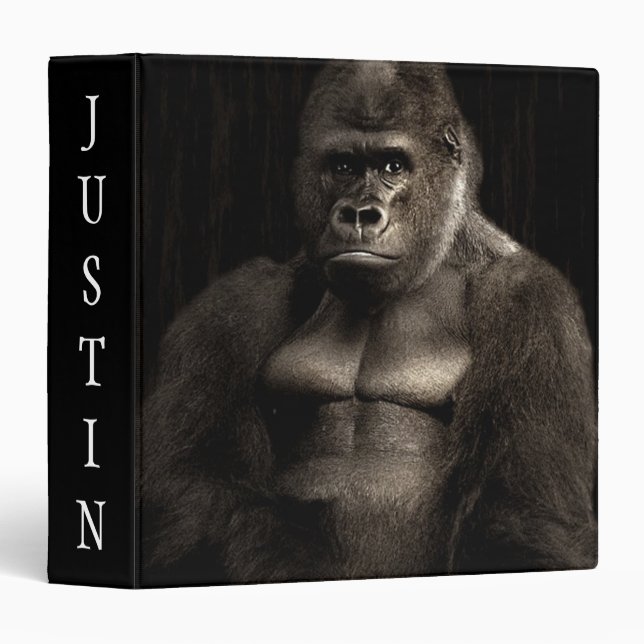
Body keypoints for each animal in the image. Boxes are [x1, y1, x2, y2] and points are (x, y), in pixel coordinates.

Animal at [141, 61, 597, 585]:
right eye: (343, 166)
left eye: (392, 166)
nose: (359, 214)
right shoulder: (236, 306)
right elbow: (193, 491)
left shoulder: (532, 302)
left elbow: (523, 513)